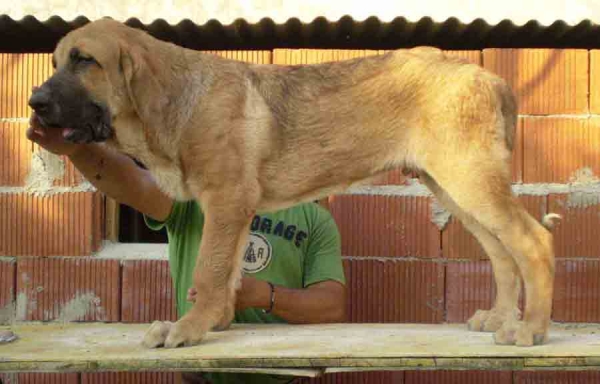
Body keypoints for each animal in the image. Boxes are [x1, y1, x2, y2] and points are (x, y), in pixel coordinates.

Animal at [28, 17, 560, 348]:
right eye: (55, 62)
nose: (34, 102)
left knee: (533, 241)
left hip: (470, 178)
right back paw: (500, 318)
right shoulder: (234, 210)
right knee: (501, 254)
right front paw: (216, 322)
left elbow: (208, 271)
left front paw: (191, 328)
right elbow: (227, 273)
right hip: (454, 185)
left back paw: (531, 329)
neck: (178, 98)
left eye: (84, 60)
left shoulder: (226, 199)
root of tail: (492, 78)